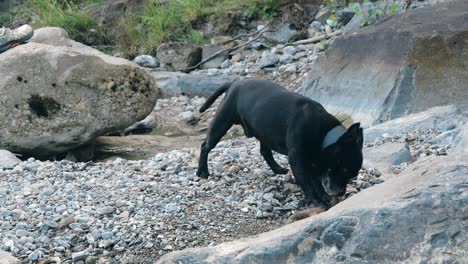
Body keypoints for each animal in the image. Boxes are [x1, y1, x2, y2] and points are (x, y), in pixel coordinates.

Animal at [196, 78, 364, 208]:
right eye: (344, 170)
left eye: (353, 175)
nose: (342, 192)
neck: (324, 134)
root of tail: (235, 82)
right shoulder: (298, 161)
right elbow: (307, 182)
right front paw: (314, 199)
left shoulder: (314, 164)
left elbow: (316, 181)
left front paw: (322, 197)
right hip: (221, 123)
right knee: (205, 146)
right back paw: (202, 171)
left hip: (263, 132)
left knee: (265, 151)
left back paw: (277, 169)